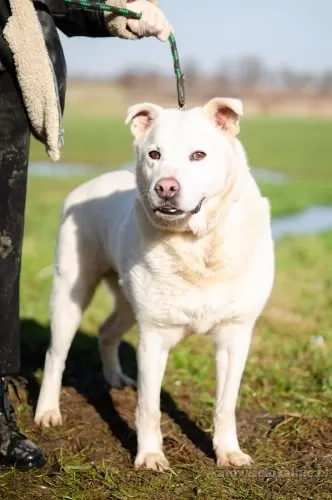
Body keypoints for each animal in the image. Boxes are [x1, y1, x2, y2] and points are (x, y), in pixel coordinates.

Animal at [34, 96, 274, 468]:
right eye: (154, 154)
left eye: (199, 155)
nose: (165, 188)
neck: (195, 245)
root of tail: (88, 185)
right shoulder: (154, 336)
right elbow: (148, 406)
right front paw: (149, 456)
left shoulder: (235, 336)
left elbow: (226, 404)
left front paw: (228, 452)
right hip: (70, 293)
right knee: (55, 356)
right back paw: (47, 411)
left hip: (126, 301)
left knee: (107, 331)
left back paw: (115, 379)